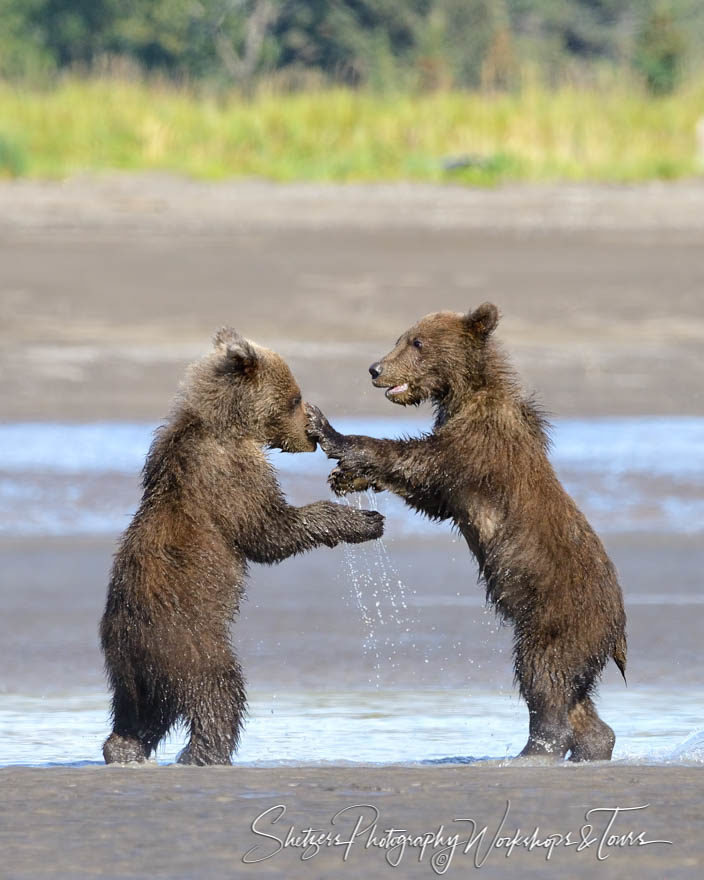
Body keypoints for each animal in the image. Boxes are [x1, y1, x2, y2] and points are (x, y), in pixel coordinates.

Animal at [99, 328, 382, 764]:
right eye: (295, 398)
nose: (310, 435)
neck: (228, 423)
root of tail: (125, 639)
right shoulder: (227, 472)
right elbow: (269, 530)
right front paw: (366, 521)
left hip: (134, 671)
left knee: (139, 713)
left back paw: (125, 750)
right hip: (189, 643)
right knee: (218, 692)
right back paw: (204, 753)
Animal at [308, 306, 628, 760]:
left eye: (416, 342)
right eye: (400, 337)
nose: (375, 369)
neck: (464, 393)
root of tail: (618, 630)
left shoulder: (475, 447)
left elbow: (417, 463)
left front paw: (328, 430)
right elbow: (427, 494)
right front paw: (345, 477)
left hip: (559, 616)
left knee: (544, 674)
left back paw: (532, 751)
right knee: (575, 695)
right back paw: (593, 745)